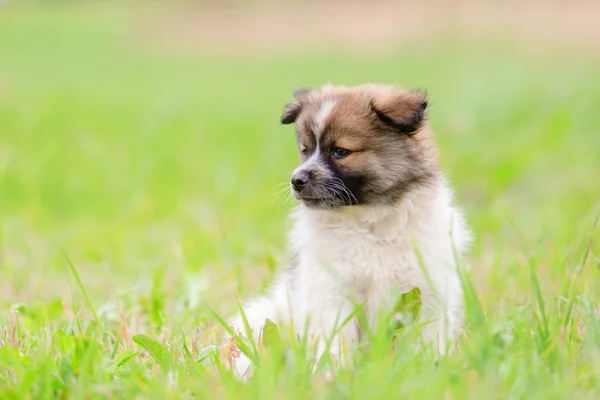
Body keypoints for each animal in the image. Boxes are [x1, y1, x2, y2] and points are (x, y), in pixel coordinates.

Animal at [227, 82, 472, 378]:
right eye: (305, 150)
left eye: (340, 151)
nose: (297, 180)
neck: (369, 219)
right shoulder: (333, 292)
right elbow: (337, 343)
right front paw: (335, 376)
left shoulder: (428, 289)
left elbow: (427, 337)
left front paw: (428, 368)